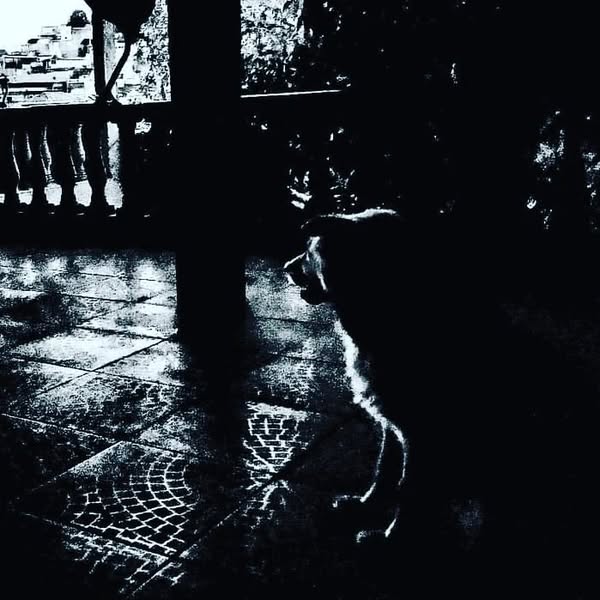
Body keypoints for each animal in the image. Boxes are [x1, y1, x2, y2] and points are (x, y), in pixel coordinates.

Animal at [284, 208, 599, 560]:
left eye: (308, 250)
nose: (286, 268)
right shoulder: (393, 425)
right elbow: (384, 472)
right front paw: (367, 506)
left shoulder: (423, 436)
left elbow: (409, 489)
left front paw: (392, 540)